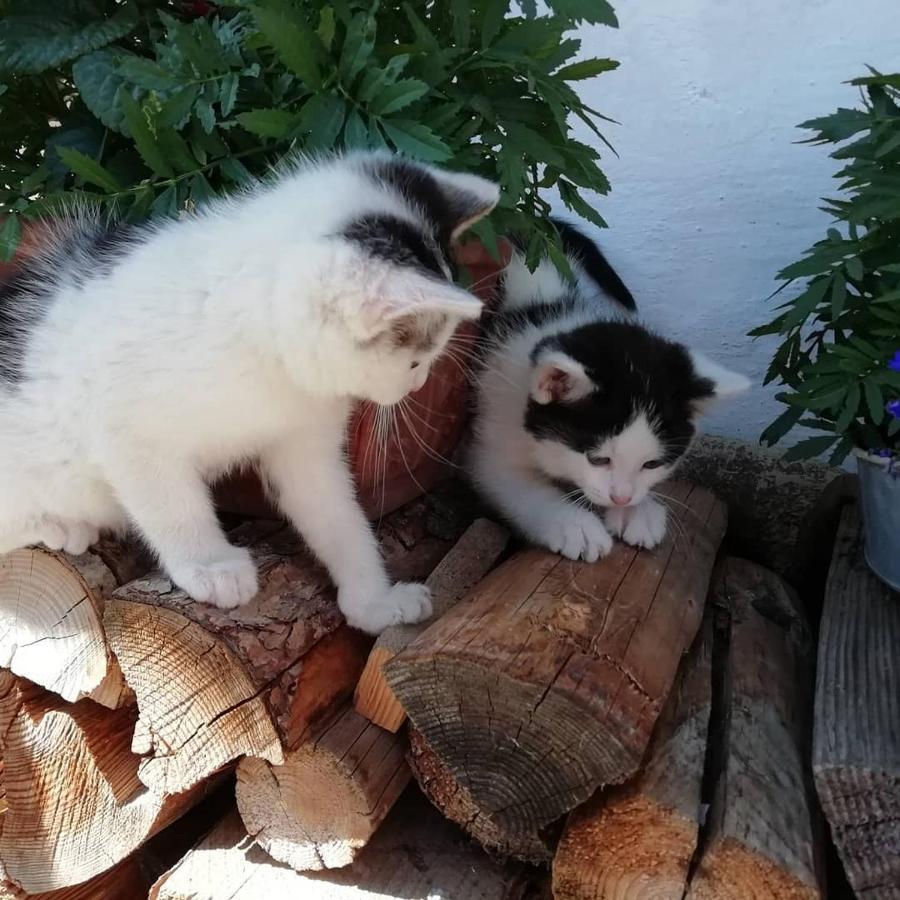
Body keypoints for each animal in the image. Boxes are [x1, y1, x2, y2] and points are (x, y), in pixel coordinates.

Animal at [0, 151, 500, 632]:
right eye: (415, 361)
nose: (417, 384)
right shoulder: (122, 424)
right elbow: (170, 502)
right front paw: (210, 566)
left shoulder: (305, 440)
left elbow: (338, 516)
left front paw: (374, 604)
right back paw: (57, 523)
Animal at [468, 223, 748, 564]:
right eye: (598, 459)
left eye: (651, 464)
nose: (621, 498)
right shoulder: (492, 434)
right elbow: (515, 485)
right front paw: (573, 524)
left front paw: (640, 511)